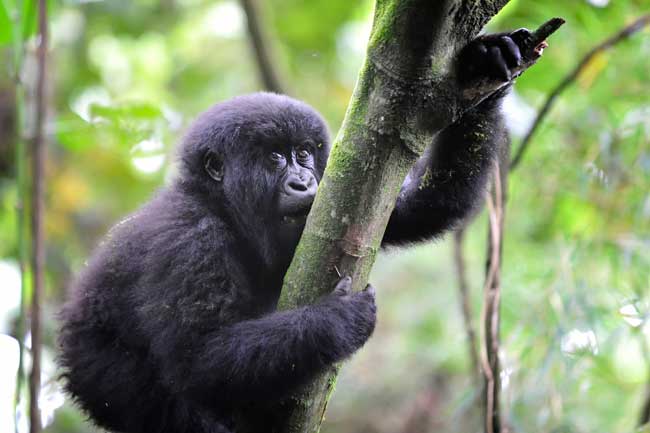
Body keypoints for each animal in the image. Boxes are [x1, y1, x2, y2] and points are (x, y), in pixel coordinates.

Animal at [59, 29, 528, 432]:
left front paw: (486, 62)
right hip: (104, 380)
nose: (303, 183)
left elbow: (427, 204)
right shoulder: (188, 240)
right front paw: (336, 321)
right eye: (274, 158)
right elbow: (196, 357)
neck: (222, 208)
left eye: (303, 154)